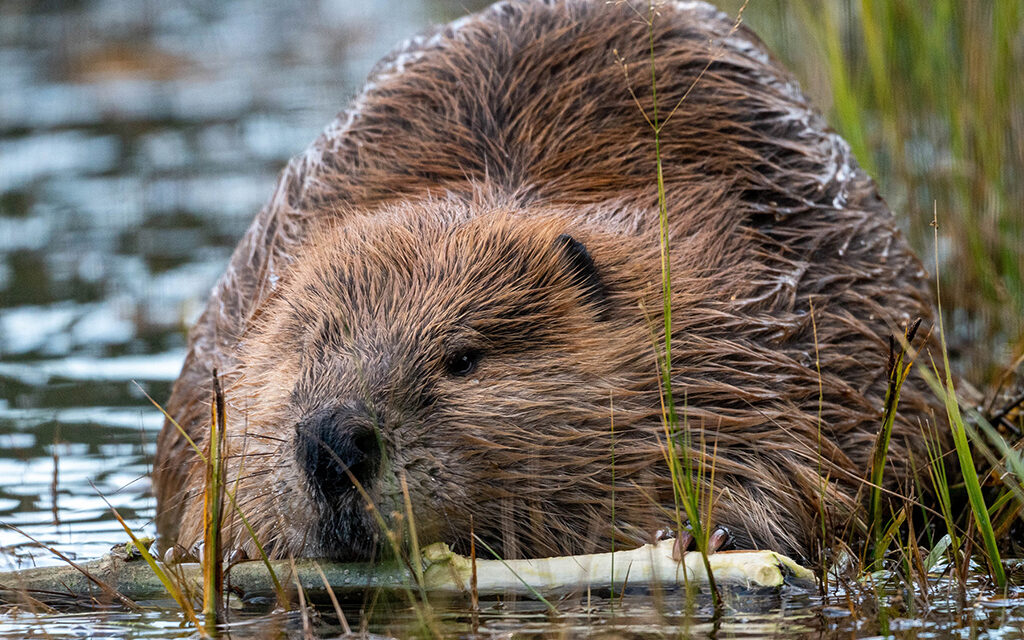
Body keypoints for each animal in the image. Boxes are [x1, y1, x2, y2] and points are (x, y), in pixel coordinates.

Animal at [153, 0, 950, 565]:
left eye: (463, 359)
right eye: (307, 349)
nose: (334, 442)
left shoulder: (772, 310)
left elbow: (799, 468)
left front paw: (710, 536)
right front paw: (241, 547)